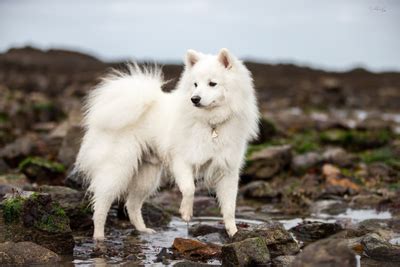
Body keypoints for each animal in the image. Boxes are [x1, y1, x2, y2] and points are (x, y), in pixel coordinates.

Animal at [74, 48, 260, 241]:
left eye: (212, 84)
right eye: (195, 84)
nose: (195, 99)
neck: (211, 124)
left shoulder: (227, 170)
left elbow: (230, 208)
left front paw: (234, 232)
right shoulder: (181, 160)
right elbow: (189, 188)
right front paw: (186, 212)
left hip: (146, 176)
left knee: (132, 205)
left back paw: (143, 230)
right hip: (117, 168)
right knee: (101, 205)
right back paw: (99, 237)